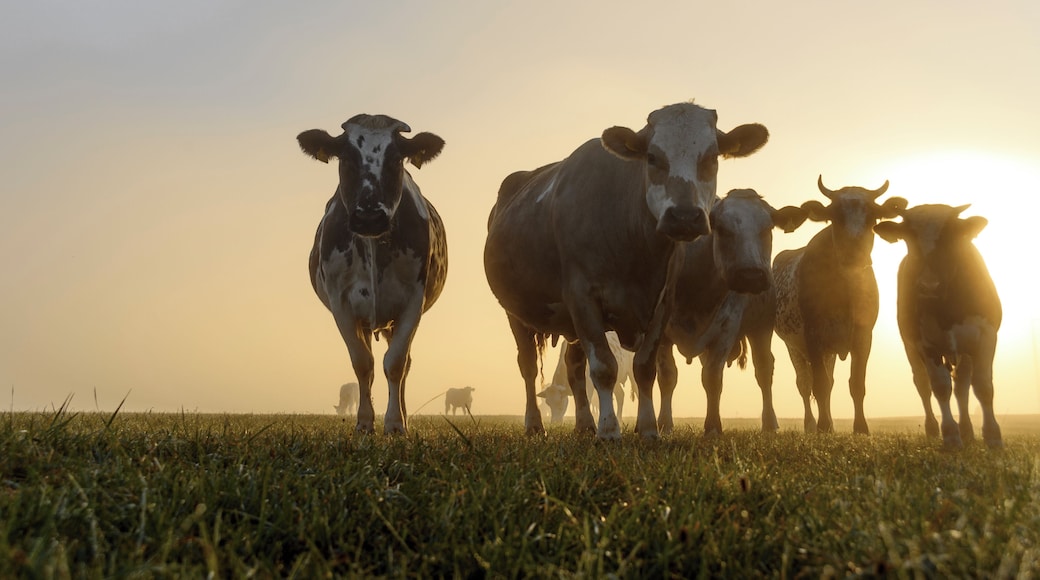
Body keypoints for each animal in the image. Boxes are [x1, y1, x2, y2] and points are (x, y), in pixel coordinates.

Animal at [297, 114, 448, 434]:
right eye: (345, 158)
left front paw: (395, 423)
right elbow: (362, 363)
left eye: (396, 159)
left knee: (404, 364)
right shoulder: (341, 303)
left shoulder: (413, 301)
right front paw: (365, 422)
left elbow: (396, 363)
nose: (369, 216)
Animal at [484, 102, 769, 439]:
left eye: (712, 157)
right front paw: (609, 430)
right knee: (528, 367)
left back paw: (584, 424)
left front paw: (647, 429)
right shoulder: (582, 297)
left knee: (574, 368)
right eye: (652, 157)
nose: (684, 216)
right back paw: (534, 424)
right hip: (516, 314)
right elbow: (604, 368)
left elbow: (645, 369)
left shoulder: (662, 303)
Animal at [656, 190, 808, 436]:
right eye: (722, 228)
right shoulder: (660, 330)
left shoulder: (727, 328)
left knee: (764, 370)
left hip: (761, 328)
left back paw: (769, 423)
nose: (751, 276)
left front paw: (713, 426)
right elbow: (668, 376)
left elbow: (712, 377)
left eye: (768, 228)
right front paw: (664, 424)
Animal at [773, 176, 906, 435]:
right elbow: (820, 384)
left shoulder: (864, 336)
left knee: (829, 382)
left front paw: (860, 428)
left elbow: (856, 384)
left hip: (829, 350)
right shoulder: (813, 335)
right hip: (794, 346)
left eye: (873, 216)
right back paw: (811, 425)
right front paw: (823, 426)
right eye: (835, 216)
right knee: (805, 384)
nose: (854, 255)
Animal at [875, 204, 1003, 449]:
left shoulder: (986, 334)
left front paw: (993, 436)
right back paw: (934, 428)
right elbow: (940, 387)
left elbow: (983, 386)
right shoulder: (926, 343)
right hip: (911, 347)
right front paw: (951, 436)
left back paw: (968, 430)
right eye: (909, 237)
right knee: (923, 384)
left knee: (962, 385)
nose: (928, 286)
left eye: (950, 235)